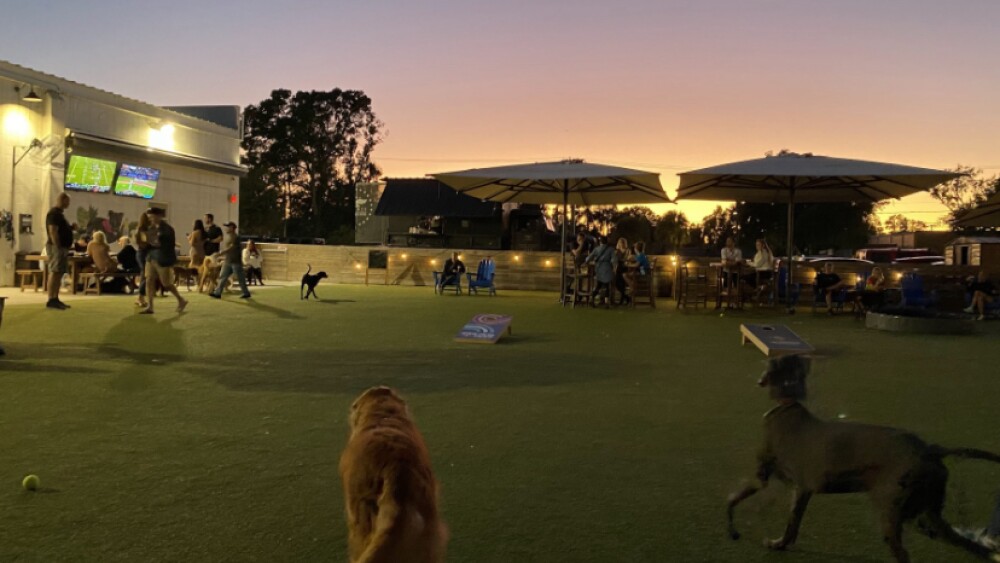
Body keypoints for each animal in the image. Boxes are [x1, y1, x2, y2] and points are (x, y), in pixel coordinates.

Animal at [728, 356, 1000, 563]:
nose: (759, 379)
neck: (787, 407)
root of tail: (929, 449)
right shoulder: (802, 490)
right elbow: (792, 525)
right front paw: (780, 543)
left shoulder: (763, 476)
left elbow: (732, 500)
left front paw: (733, 531)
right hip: (926, 515)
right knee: (975, 547)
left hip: (895, 514)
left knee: (905, 555)